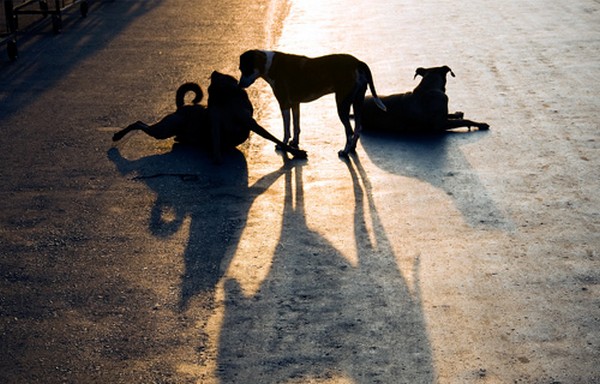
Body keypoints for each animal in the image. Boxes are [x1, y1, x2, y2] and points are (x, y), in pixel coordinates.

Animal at [113, 71, 310, 161]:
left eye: (223, 77)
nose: (214, 73)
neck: (227, 102)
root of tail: (181, 107)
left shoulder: (248, 122)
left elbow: (275, 138)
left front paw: (294, 150)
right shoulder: (218, 120)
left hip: (168, 129)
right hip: (164, 129)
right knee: (139, 123)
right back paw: (118, 135)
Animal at [237, 50, 386, 158]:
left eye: (246, 69)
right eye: (240, 69)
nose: (239, 85)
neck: (271, 65)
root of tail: (357, 62)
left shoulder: (284, 104)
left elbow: (286, 129)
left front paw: (283, 144)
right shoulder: (295, 104)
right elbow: (296, 126)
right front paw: (295, 143)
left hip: (342, 104)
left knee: (349, 132)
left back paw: (345, 152)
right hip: (357, 102)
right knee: (357, 128)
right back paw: (352, 148)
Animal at [360, 65, 488, 134]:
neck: (429, 88)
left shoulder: (443, 116)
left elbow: (452, 115)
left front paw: (457, 113)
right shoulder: (442, 123)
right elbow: (466, 121)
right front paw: (480, 124)